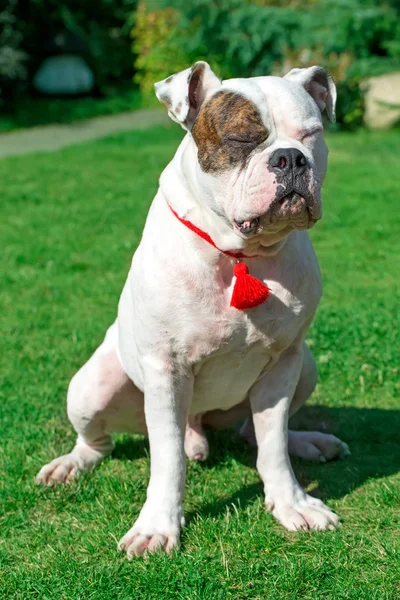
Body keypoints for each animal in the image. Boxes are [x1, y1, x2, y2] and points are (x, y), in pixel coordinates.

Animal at [37, 62, 350, 556]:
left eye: (311, 134)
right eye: (241, 139)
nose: (291, 158)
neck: (239, 255)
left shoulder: (283, 364)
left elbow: (272, 445)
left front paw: (292, 504)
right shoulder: (167, 371)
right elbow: (167, 461)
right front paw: (158, 526)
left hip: (307, 366)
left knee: (253, 433)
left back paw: (308, 442)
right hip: (91, 388)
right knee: (98, 442)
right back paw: (72, 464)